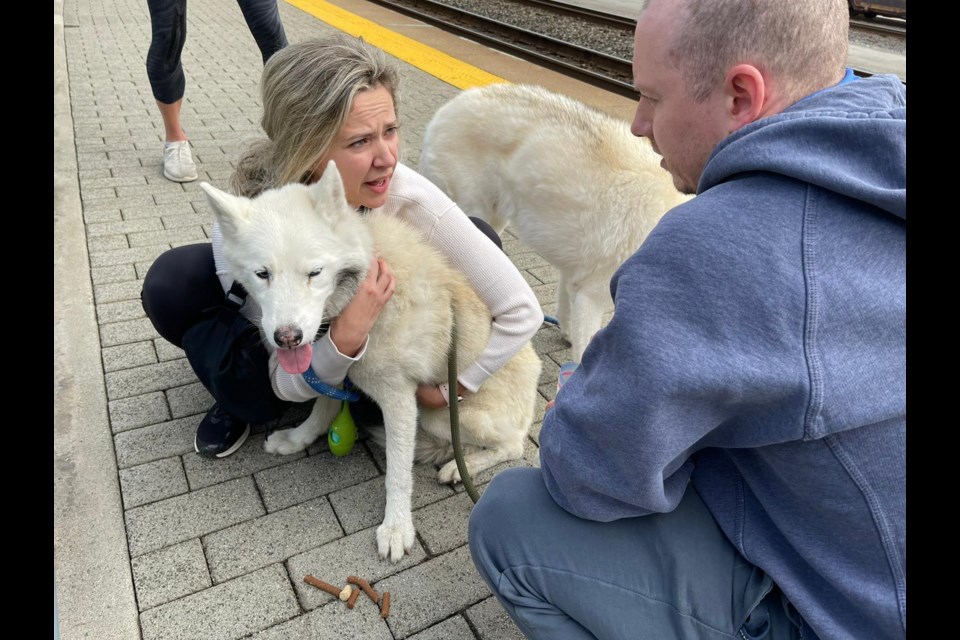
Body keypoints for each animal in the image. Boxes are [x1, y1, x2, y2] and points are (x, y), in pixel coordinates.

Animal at [420, 83, 688, 362]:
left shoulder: (573, 279)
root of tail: (452, 105)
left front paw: (567, 334)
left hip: (495, 220)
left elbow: (566, 313)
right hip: (472, 218)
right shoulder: (592, 296)